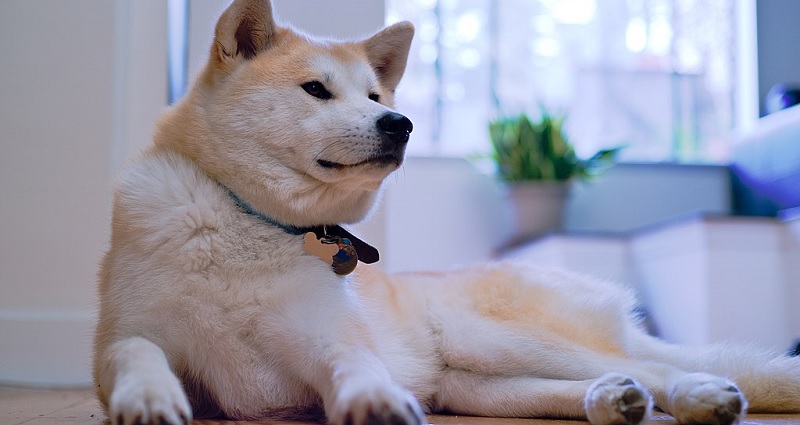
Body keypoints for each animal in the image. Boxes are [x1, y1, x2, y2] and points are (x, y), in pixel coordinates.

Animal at [94, 0, 800, 424]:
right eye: (316, 89)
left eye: (375, 95)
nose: (400, 122)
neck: (248, 221)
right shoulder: (127, 335)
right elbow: (135, 353)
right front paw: (149, 396)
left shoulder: (328, 338)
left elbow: (355, 363)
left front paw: (375, 398)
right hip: (477, 384)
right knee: (622, 378)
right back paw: (615, 399)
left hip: (490, 338)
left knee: (663, 367)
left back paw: (699, 394)